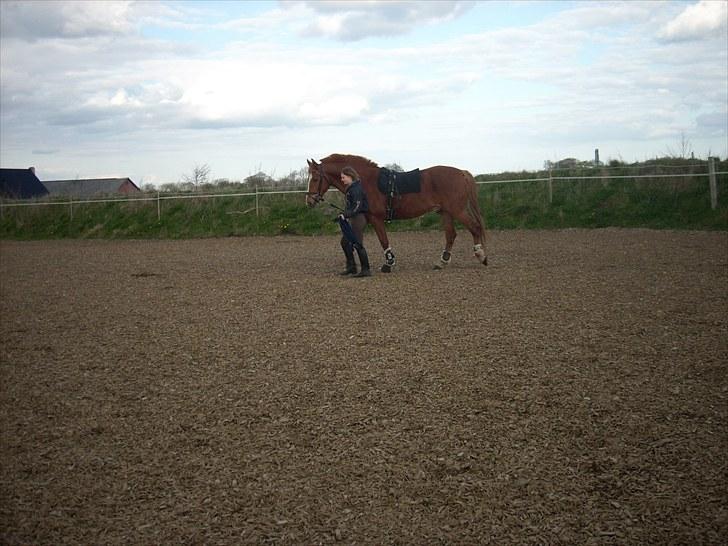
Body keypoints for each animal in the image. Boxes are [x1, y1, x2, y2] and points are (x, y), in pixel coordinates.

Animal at [304, 152, 486, 270]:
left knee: (474, 227)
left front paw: (389, 263)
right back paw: (442, 262)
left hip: (457, 211)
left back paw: (481, 256)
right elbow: (352, 241)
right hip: (445, 213)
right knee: (451, 235)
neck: (364, 181)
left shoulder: (376, 219)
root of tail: (462, 173)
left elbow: (383, 240)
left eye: (315, 178)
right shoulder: (365, 218)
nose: (309, 201)